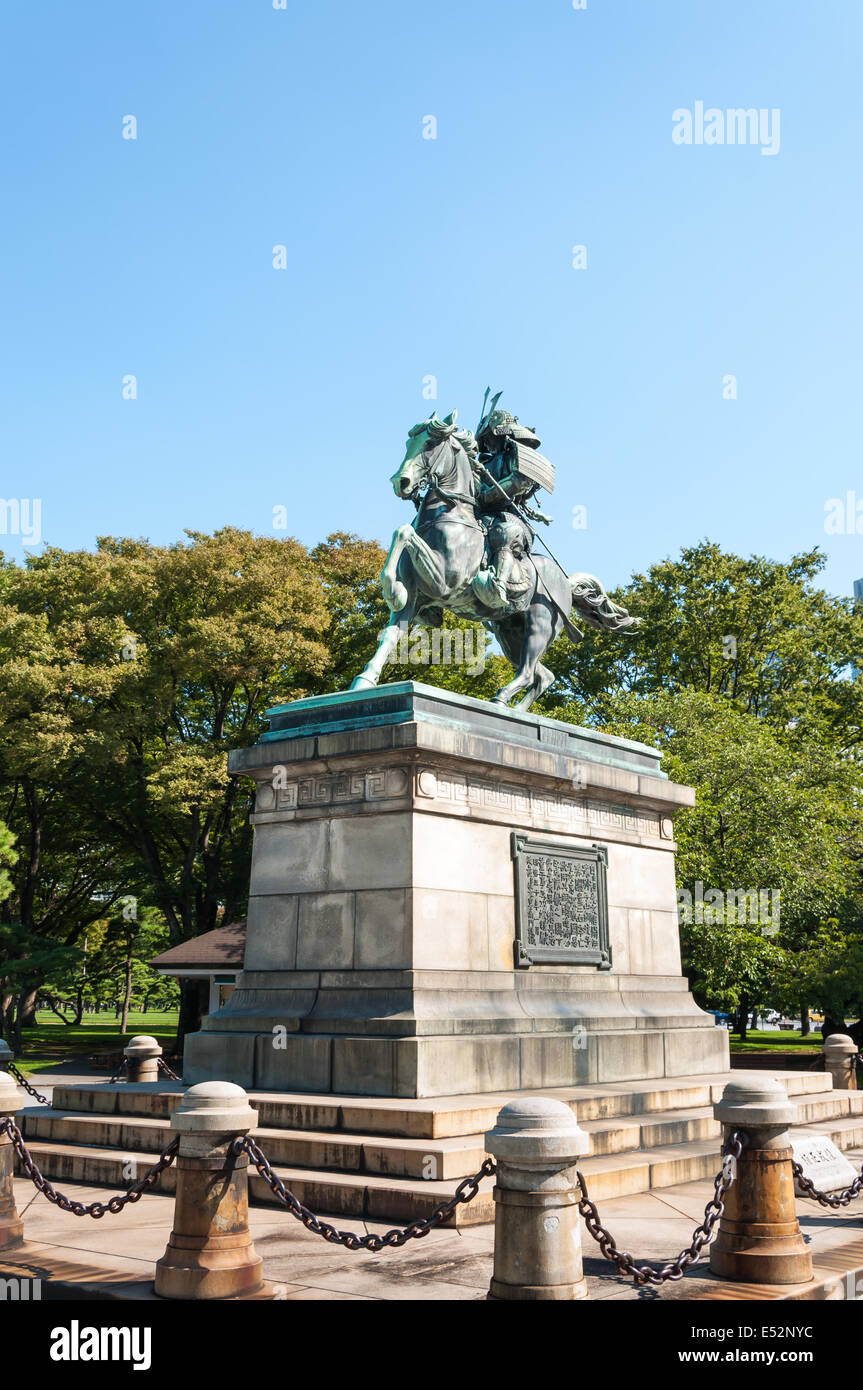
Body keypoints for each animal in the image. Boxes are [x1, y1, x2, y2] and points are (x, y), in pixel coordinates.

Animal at [346, 408, 636, 711]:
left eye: (430, 443)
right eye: (407, 443)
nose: (400, 482)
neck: (448, 516)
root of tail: (566, 584)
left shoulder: (444, 584)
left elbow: (405, 532)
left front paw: (392, 590)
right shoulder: (415, 601)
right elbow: (390, 633)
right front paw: (364, 680)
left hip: (540, 625)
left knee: (528, 670)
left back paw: (502, 697)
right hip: (510, 634)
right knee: (543, 675)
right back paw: (515, 709)